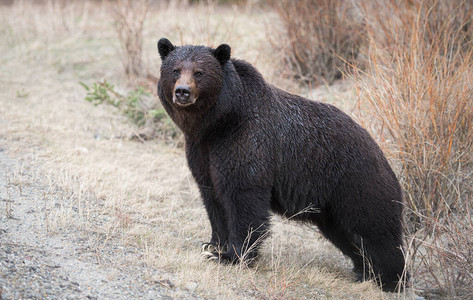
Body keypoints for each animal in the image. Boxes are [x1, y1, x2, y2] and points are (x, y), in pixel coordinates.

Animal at [157, 38, 408, 292]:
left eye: (199, 72)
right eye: (175, 70)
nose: (183, 91)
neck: (217, 123)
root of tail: (382, 156)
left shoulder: (246, 141)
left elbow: (243, 197)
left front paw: (231, 255)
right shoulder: (203, 152)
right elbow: (212, 198)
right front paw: (212, 245)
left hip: (358, 183)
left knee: (376, 232)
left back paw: (391, 279)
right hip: (331, 207)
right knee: (346, 236)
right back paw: (363, 271)